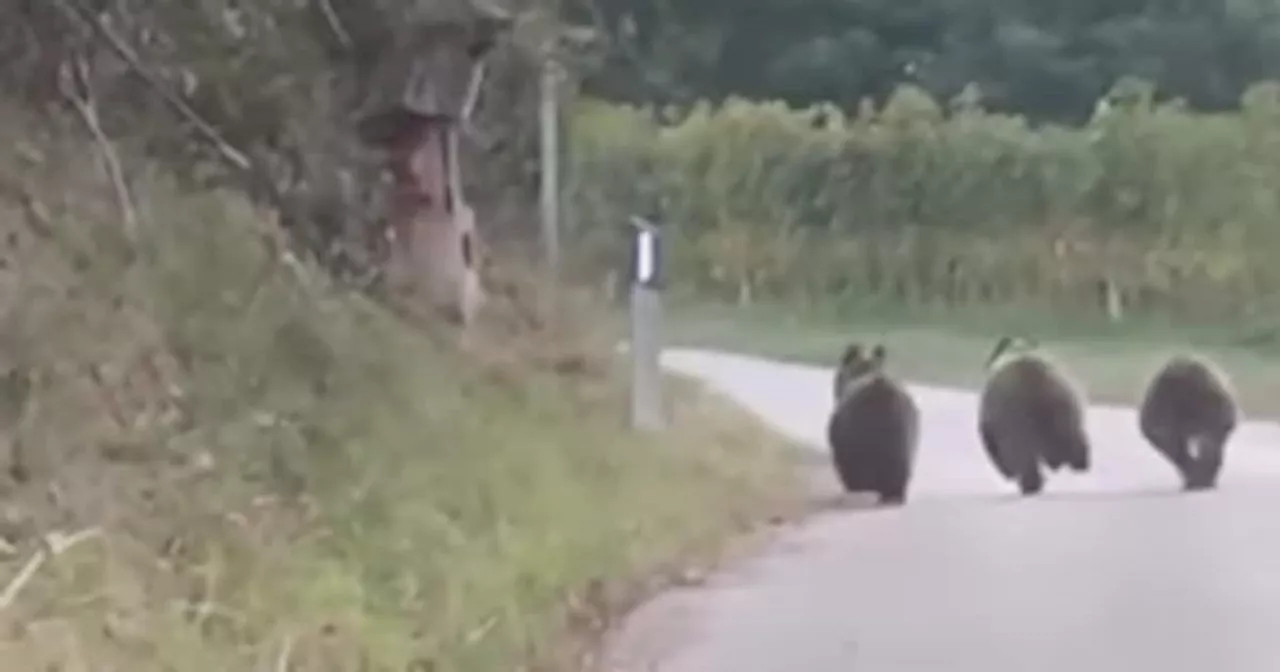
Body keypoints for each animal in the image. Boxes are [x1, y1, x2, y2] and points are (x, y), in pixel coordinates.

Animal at [977, 332, 1090, 494]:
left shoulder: (992, 418)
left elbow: (993, 444)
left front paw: (1007, 471)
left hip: (1014, 414)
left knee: (1021, 450)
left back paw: (1031, 483)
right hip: (1062, 404)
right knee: (1068, 435)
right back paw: (1078, 462)